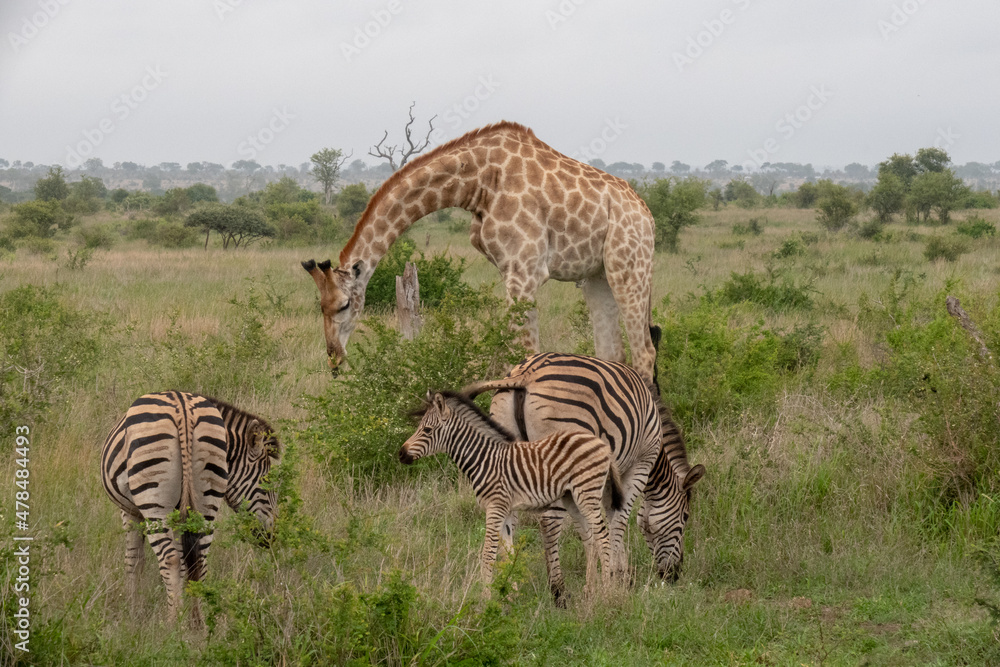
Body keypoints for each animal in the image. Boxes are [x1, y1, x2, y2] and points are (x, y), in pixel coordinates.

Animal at [100, 391, 280, 622]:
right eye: (267, 482)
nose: (272, 536)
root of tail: (184, 412)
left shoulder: (131, 512)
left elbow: (134, 560)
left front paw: (132, 613)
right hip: (206, 501)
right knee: (198, 561)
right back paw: (197, 623)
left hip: (154, 502)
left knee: (171, 560)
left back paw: (173, 625)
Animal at [302, 121, 658, 386]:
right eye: (320, 306)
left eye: (344, 305)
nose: (334, 359)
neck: (477, 181)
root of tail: (647, 214)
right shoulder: (511, 270)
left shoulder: (525, 271)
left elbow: (523, 354)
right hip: (597, 276)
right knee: (612, 355)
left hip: (629, 266)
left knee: (645, 353)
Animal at [400, 390, 624, 595]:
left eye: (427, 430)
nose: (401, 454)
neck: (484, 460)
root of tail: (602, 444)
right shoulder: (505, 509)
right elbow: (506, 553)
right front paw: (508, 593)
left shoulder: (495, 507)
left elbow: (488, 554)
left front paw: (485, 598)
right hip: (572, 498)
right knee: (590, 539)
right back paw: (590, 589)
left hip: (587, 493)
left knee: (603, 536)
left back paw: (606, 589)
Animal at [462, 352, 705, 604]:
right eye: (685, 517)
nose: (673, 575)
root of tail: (525, 374)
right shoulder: (639, 465)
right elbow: (618, 519)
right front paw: (616, 578)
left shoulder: (604, 474)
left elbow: (602, 520)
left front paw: (611, 577)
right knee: (549, 522)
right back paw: (558, 592)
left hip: (510, 453)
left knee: (508, 523)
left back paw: (511, 591)